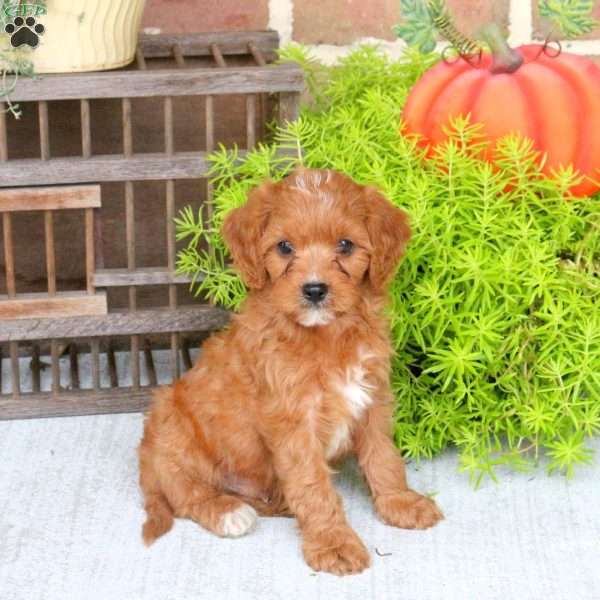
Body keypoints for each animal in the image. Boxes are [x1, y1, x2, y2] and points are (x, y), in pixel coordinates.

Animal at [138, 166, 442, 576]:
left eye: (345, 245)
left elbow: (384, 457)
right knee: (186, 493)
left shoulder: (372, 398)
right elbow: (312, 484)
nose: (314, 290)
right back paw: (228, 512)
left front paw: (400, 502)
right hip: (173, 430)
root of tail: (145, 460)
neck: (327, 335)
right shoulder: (293, 420)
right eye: (284, 247)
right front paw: (333, 543)